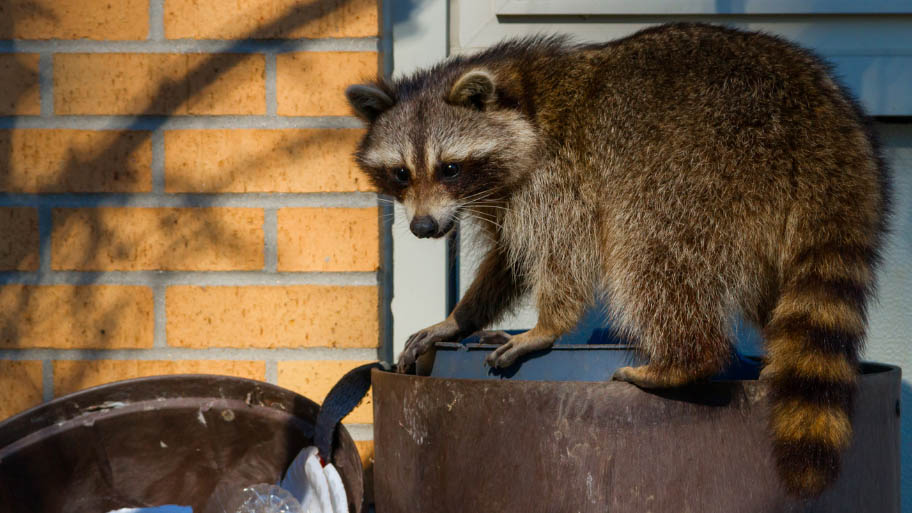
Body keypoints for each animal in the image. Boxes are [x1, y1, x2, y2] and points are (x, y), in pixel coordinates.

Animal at [344, 22, 892, 494]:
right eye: (400, 173)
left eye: (450, 168)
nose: (423, 228)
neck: (522, 99)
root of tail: (823, 121)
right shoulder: (504, 195)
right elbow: (510, 259)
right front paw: (460, 317)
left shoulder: (559, 175)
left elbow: (564, 252)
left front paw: (549, 325)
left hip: (706, 163)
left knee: (651, 248)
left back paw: (685, 360)